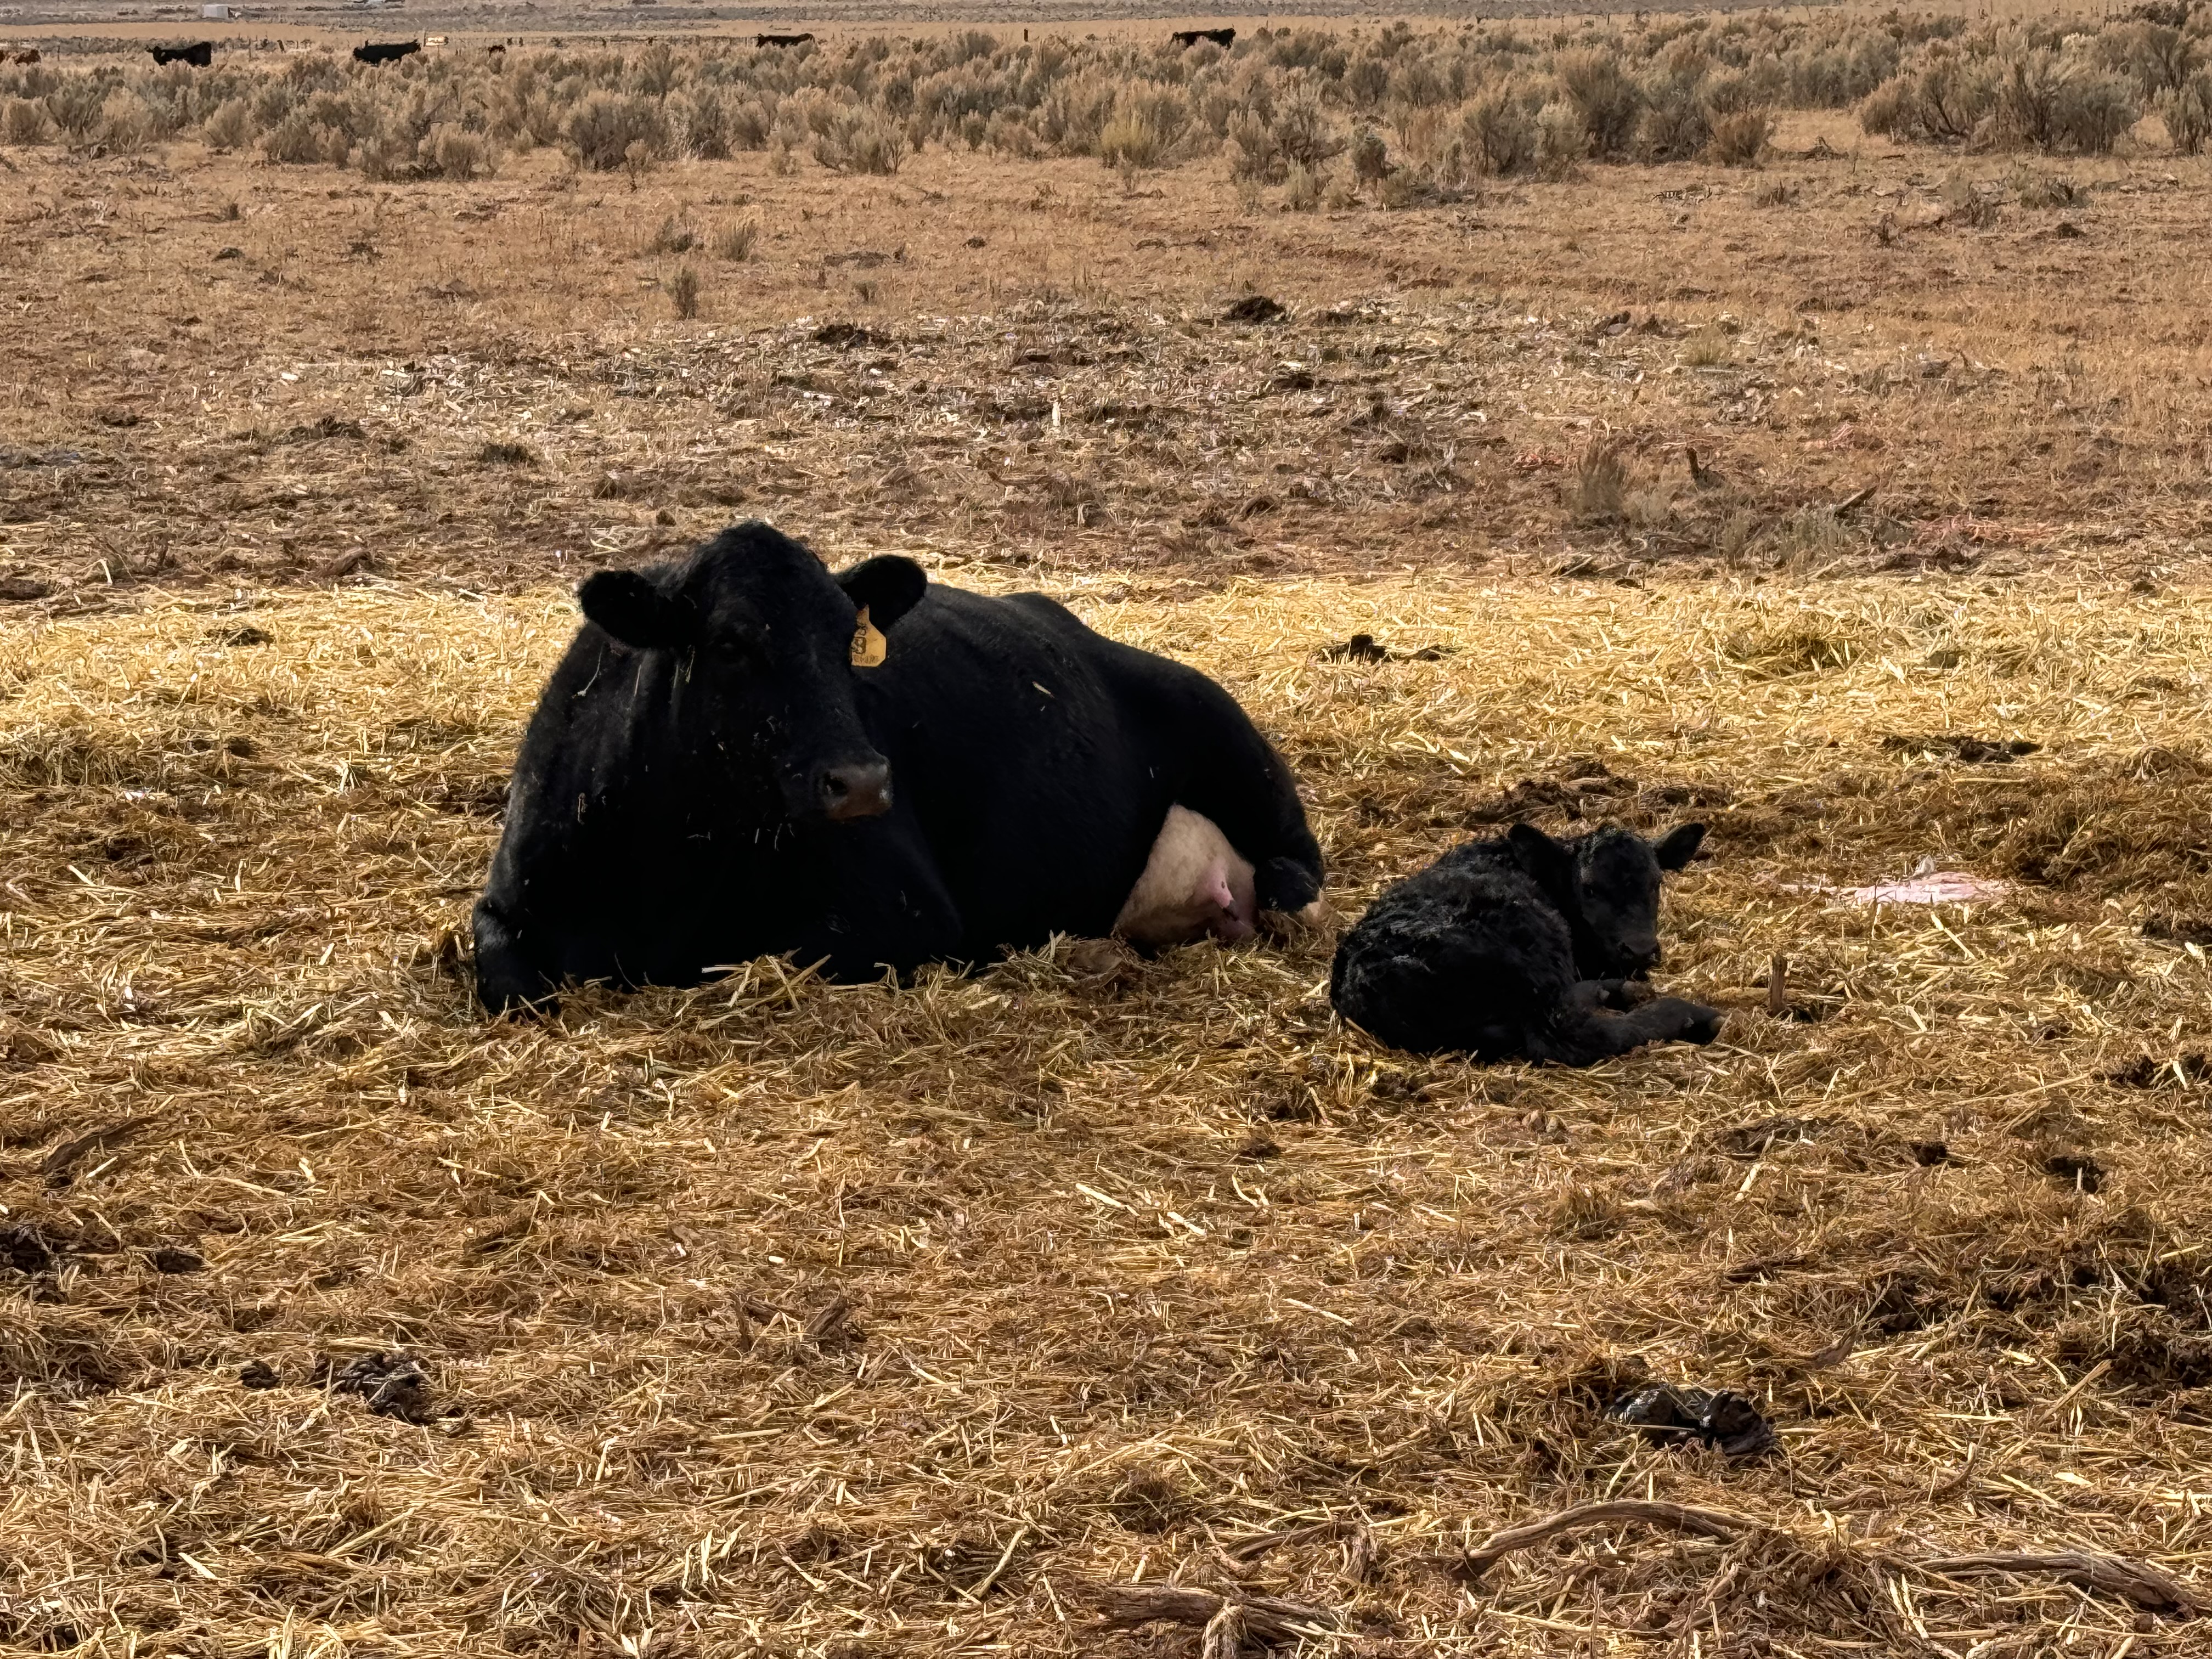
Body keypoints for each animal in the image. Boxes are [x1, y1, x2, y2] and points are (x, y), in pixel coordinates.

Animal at [472, 522, 1324, 1014]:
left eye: (847, 638)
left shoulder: (905, 916)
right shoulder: (504, 908)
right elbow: (509, 986)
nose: (862, 781)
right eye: (729, 643)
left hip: (1223, 730)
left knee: (1296, 864)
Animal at [1330, 822, 1722, 1064]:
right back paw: (1693, 1015)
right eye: (1589, 889)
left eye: (1657, 883)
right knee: (1573, 1031)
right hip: (1537, 950)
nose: (1640, 949)